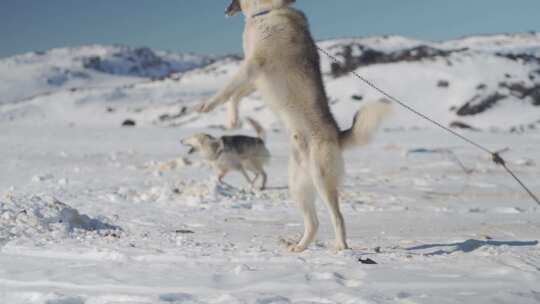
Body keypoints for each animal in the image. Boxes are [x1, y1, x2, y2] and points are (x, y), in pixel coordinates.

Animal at [196, 0, 390, 252]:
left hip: (322, 179)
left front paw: (206, 105)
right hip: (298, 187)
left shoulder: (254, 64)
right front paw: (232, 119)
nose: (222, 9)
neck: (266, 12)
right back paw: (299, 247)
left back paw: (340, 247)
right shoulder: (256, 76)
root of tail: (337, 135)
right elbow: (235, 96)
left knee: (337, 217)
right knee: (314, 222)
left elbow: (227, 90)